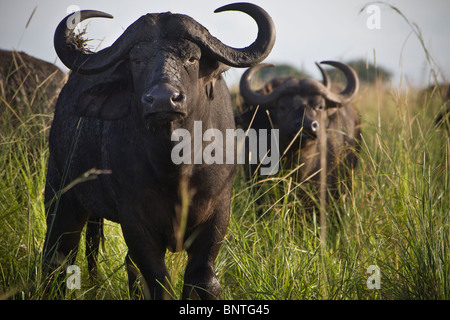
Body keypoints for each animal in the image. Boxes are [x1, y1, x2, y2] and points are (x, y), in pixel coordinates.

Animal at [43, 3, 274, 300]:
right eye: (137, 60)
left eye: (192, 58)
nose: (163, 99)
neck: (175, 167)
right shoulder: (135, 221)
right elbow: (157, 281)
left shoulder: (218, 210)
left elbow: (202, 278)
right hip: (61, 194)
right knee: (59, 254)